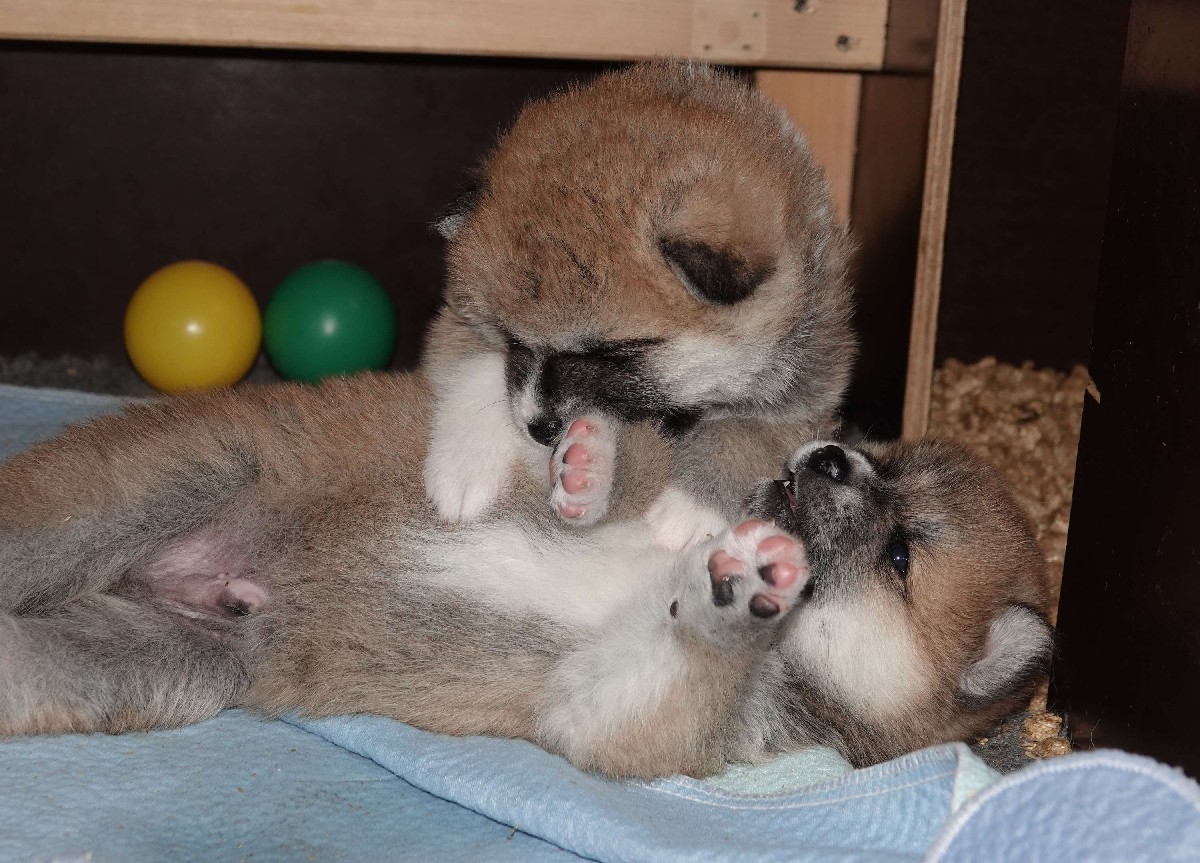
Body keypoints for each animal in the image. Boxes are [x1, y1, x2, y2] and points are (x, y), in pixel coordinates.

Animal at [0, 375, 1050, 778]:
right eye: (879, 453)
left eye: (902, 553)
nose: (829, 455)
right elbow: (648, 462)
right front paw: (586, 462)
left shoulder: (615, 707)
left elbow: (655, 683)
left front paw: (734, 603)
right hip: (142, 491)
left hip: (151, 660)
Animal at [421, 61, 857, 547]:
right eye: (511, 337)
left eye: (615, 351)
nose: (539, 428)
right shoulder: (453, 328)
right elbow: (478, 370)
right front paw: (464, 463)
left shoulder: (805, 395)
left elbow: (746, 433)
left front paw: (689, 509)